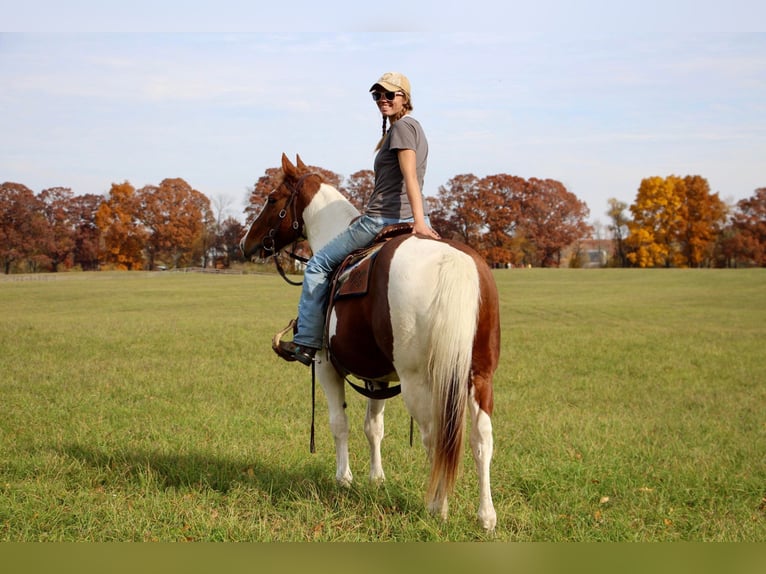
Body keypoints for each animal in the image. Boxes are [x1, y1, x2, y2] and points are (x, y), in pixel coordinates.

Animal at [242, 153, 504, 532]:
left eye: (272, 199)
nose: (246, 243)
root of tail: (452, 261)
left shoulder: (326, 366)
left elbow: (339, 424)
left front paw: (344, 478)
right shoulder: (377, 376)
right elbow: (373, 427)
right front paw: (376, 479)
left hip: (419, 382)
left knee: (436, 437)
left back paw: (437, 506)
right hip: (480, 376)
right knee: (481, 437)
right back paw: (486, 515)